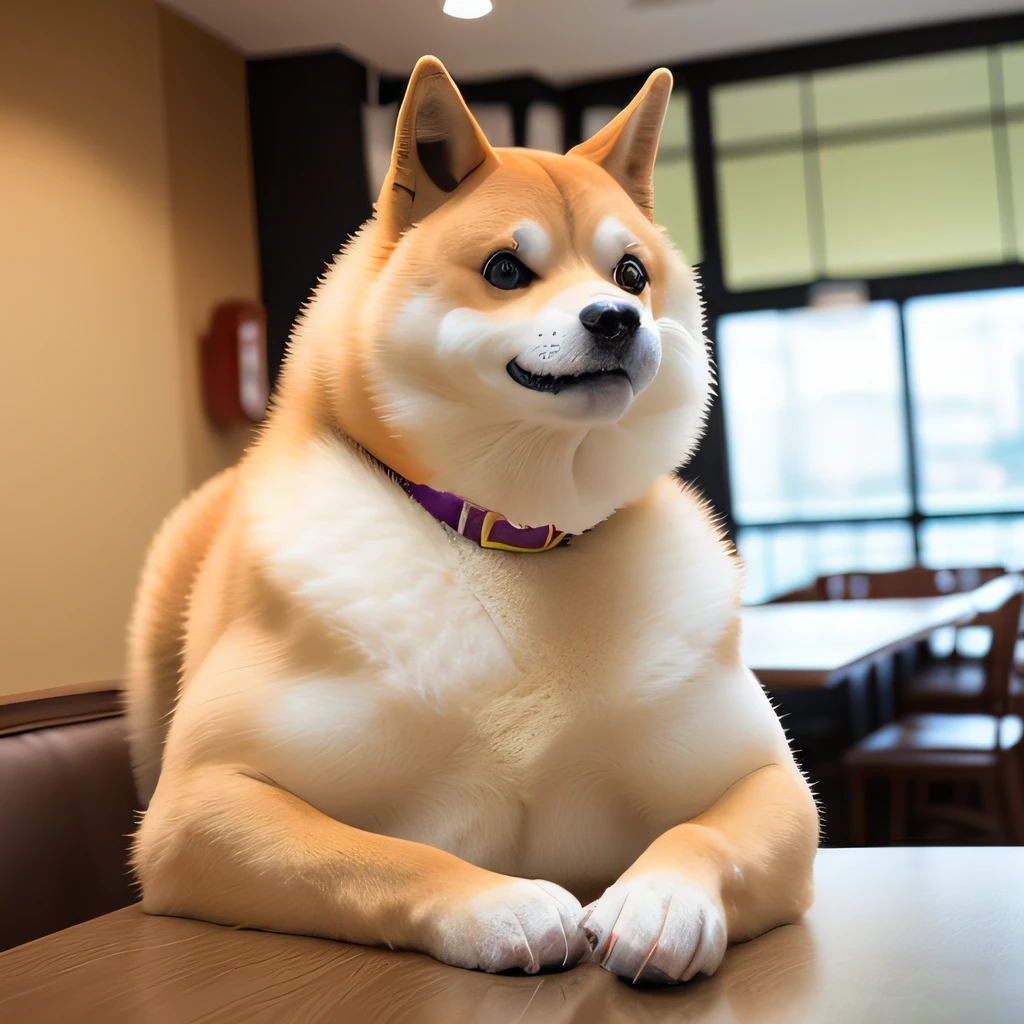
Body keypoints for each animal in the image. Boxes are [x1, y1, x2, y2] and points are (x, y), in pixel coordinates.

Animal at [125, 56, 815, 983]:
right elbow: (382, 856)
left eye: (631, 275)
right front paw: (500, 903)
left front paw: (662, 897)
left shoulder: (769, 780)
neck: (514, 539)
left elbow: (705, 832)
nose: (616, 318)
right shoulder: (198, 807)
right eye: (504, 271)